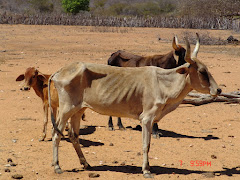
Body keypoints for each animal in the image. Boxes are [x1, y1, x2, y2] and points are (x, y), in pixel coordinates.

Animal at [48, 34, 221, 177]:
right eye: (202, 71)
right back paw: (57, 167)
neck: (163, 83)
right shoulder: (147, 119)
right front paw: (146, 171)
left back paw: (86, 164)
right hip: (65, 110)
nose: (218, 90)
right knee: (56, 134)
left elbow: (148, 144)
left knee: (74, 136)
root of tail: (58, 72)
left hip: (78, 110)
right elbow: (146, 145)